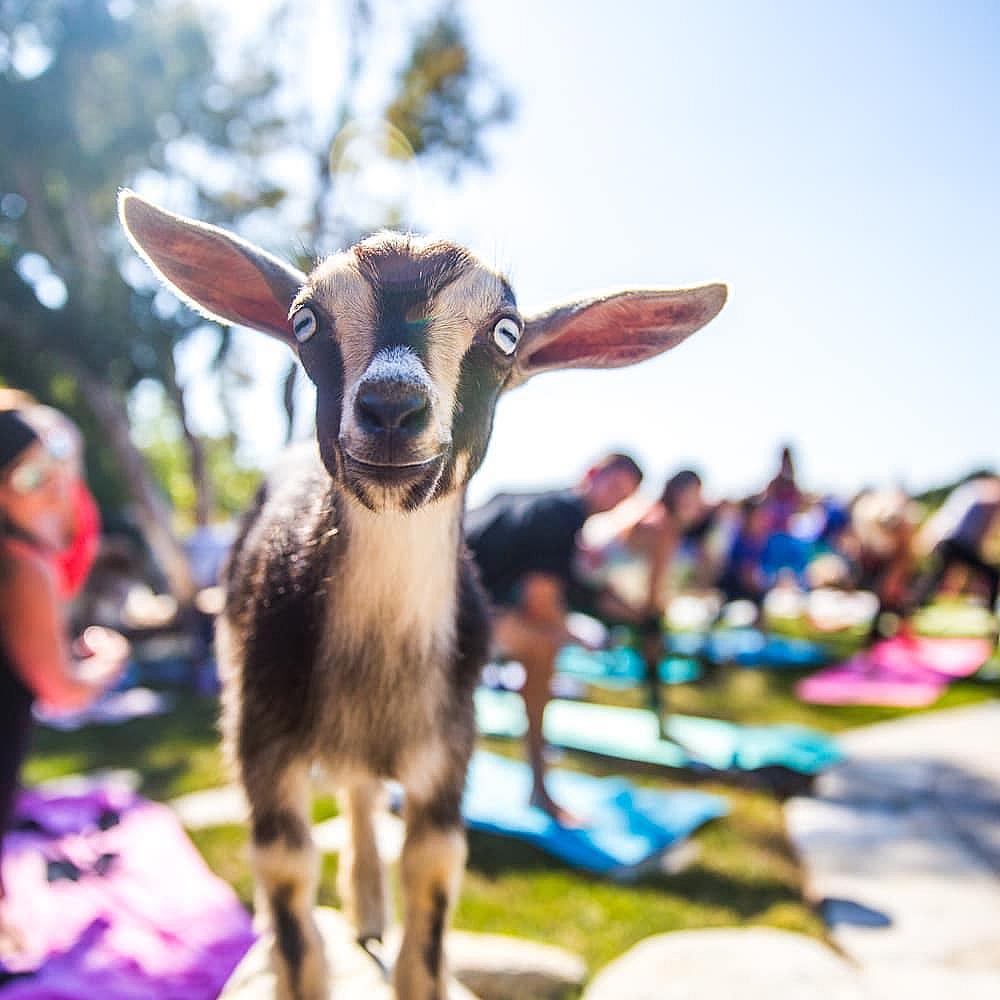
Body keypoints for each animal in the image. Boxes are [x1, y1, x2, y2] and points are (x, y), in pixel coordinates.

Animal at [118, 191, 726, 1000]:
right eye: (304, 320)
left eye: (506, 331)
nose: (390, 406)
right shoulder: (261, 739)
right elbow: (291, 899)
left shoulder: (448, 751)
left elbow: (430, 898)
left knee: (363, 794)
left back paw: (371, 907)